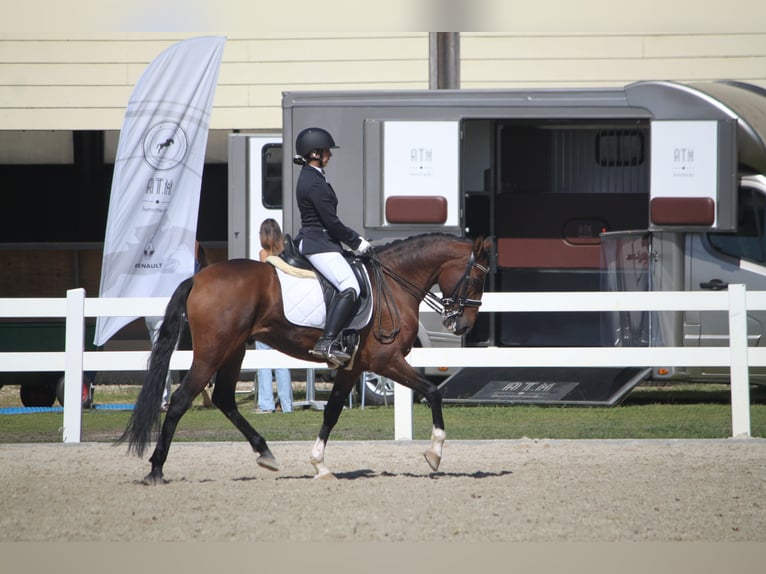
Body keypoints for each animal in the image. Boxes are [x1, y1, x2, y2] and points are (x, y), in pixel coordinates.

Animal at [120, 232, 492, 484]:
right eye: (476, 278)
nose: (461, 324)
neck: (395, 283)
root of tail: (198, 277)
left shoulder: (353, 366)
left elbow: (332, 411)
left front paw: (319, 465)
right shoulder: (385, 360)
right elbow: (433, 392)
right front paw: (434, 453)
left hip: (233, 350)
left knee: (224, 398)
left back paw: (265, 453)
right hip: (212, 353)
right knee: (180, 401)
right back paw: (156, 469)